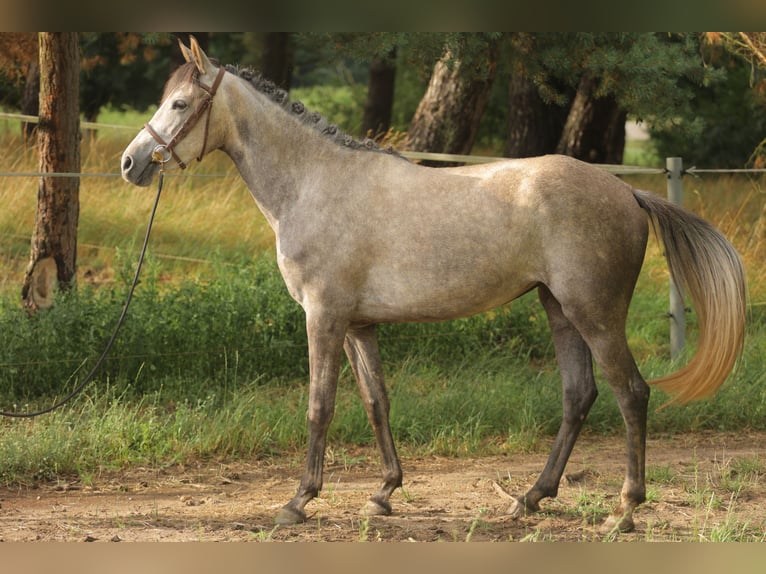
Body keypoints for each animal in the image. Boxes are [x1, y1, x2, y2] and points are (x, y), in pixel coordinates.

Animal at [123, 37, 748, 536]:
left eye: (180, 104)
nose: (133, 164)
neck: (315, 183)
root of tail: (627, 193)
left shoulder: (323, 317)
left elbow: (320, 406)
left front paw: (298, 501)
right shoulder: (358, 325)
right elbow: (376, 403)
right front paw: (383, 494)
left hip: (593, 313)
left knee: (631, 393)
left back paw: (624, 510)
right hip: (559, 309)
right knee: (579, 396)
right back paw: (530, 498)